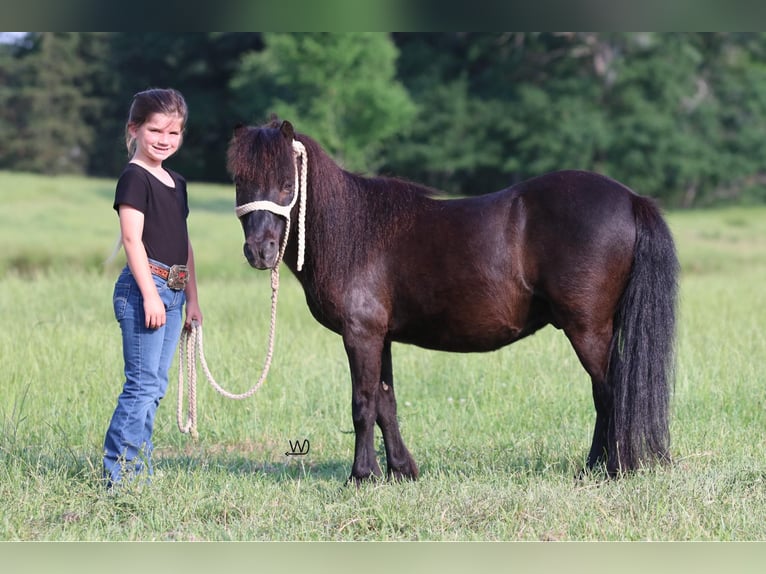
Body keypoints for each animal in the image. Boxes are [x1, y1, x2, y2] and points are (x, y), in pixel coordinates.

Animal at [225, 119, 680, 484]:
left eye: (288, 184)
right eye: (241, 182)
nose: (260, 251)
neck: (356, 231)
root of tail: (630, 199)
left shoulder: (361, 334)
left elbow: (363, 404)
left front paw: (361, 476)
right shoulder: (381, 336)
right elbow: (386, 402)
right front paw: (401, 471)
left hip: (588, 329)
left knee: (608, 393)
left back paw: (607, 469)